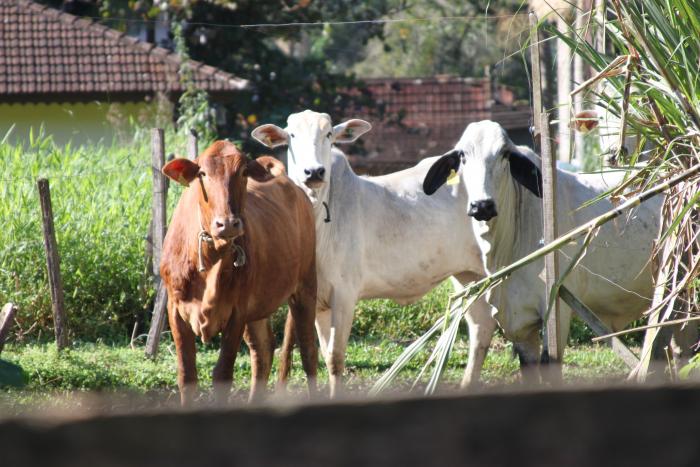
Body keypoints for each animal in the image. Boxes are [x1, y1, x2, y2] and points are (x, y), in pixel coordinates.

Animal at [160, 142, 316, 406]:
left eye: (243, 172)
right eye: (202, 173)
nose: (227, 224)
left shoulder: (237, 311)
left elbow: (222, 374)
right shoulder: (175, 308)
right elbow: (187, 375)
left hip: (306, 287)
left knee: (308, 353)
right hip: (259, 307)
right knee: (263, 350)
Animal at [254, 111, 500, 396]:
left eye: (329, 134)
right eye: (292, 135)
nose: (314, 171)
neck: (318, 220)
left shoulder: (345, 295)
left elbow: (335, 358)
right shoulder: (317, 299)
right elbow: (323, 355)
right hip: (467, 274)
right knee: (481, 325)